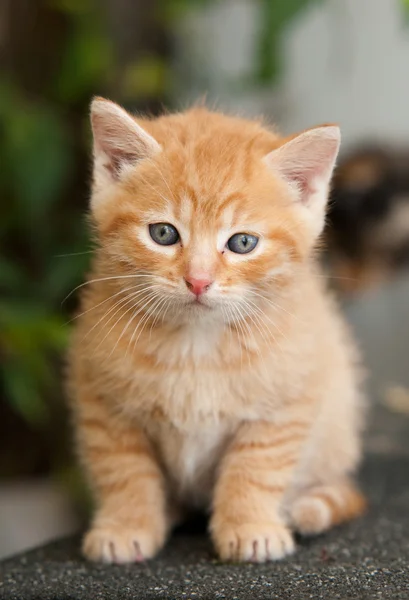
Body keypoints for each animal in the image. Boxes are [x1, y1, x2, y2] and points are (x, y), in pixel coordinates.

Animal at [67, 97, 366, 564]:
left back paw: (305, 506)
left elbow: (257, 465)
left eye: (242, 243)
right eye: (163, 233)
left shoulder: (289, 397)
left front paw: (250, 527)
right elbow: (123, 468)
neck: (197, 342)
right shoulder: (102, 399)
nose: (198, 280)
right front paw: (126, 525)